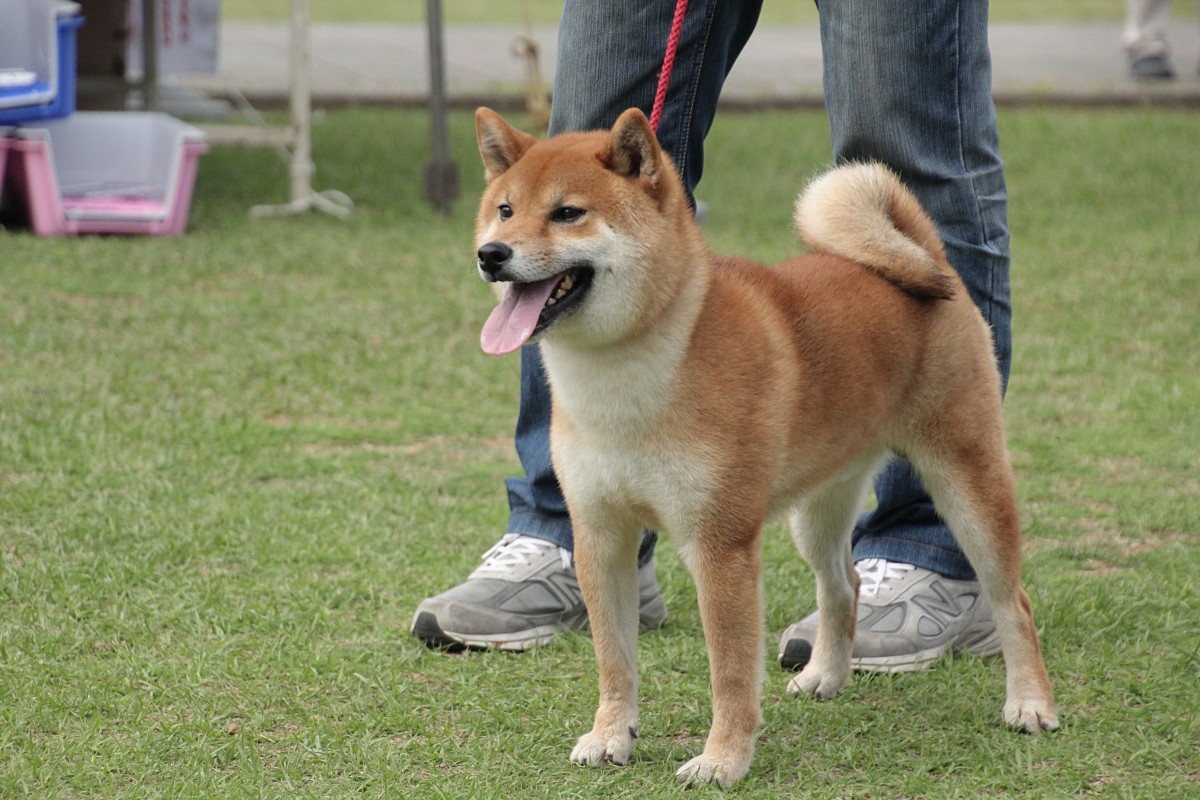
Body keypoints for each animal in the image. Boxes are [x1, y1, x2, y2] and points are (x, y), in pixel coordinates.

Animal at [472, 106, 1056, 786]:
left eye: (568, 213)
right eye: (506, 210)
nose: (491, 254)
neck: (632, 371)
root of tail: (931, 257)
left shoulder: (721, 547)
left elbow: (729, 672)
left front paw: (722, 759)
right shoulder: (600, 535)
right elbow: (613, 660)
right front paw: (611, 735)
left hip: (966, 480)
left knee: (1011, 598)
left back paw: (1031, 703)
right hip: (819, 507)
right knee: (844, 583)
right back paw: (826, 674)